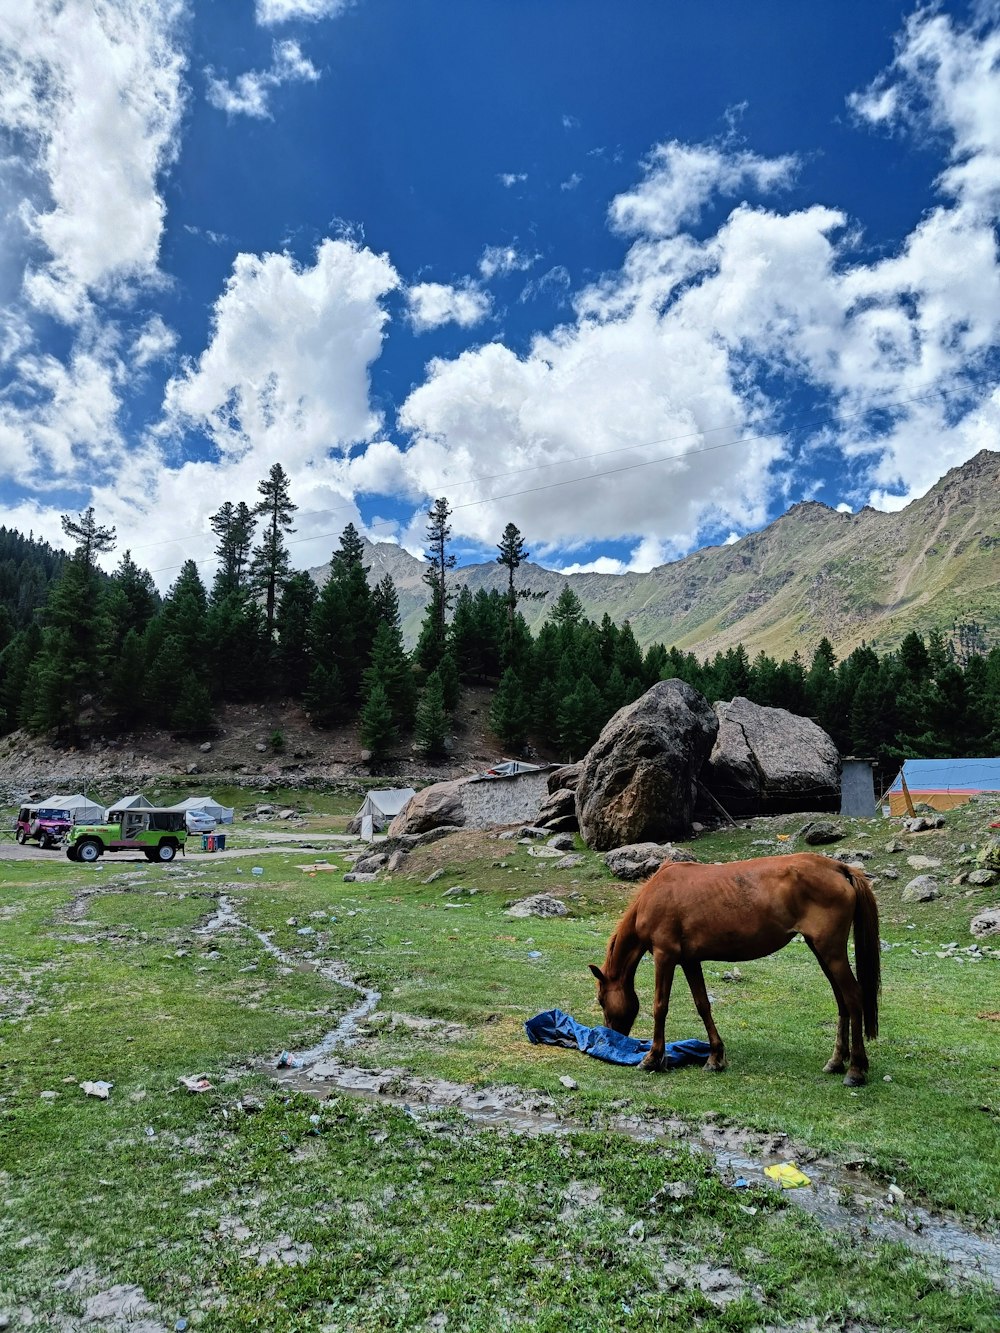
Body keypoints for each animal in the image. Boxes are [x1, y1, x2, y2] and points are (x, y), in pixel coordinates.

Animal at [592, 853, 880, 1082]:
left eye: (601, 1000)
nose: (611, 1035)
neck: (655, 894)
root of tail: (838, 868)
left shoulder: (666, 956)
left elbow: (660, 1007)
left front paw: (652, 1058)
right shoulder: (689, 961)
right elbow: (703, 1005)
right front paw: (715, 1057)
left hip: (831, 951)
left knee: (853, 997)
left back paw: (855, 1070)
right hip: (821, 951)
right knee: (842, 1001)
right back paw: (836, 1061)